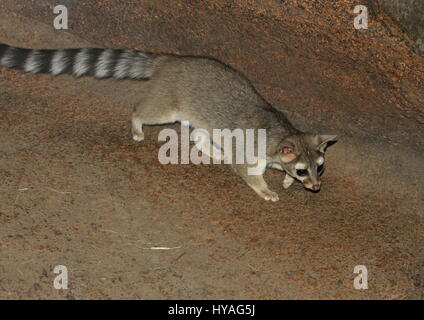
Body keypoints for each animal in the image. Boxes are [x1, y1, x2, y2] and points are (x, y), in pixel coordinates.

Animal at [0, 42, 338, 201]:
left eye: (319, 167)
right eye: (304, 169)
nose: (316, 187)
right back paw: (137, 121)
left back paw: (213, 149)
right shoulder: (252, 147)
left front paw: (285, 179)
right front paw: (264, 186)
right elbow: (247, 170)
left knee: (200, 136)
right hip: (170, 103)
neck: (284, 133)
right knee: (147, 110)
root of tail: (172, 59)